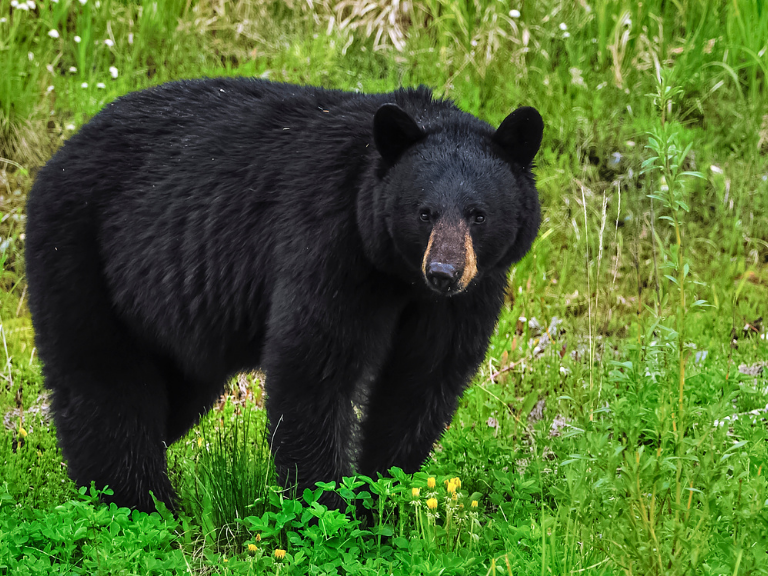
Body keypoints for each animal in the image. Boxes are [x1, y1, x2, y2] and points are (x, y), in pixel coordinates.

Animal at [24, 77, 540, 512]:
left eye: (478, 214)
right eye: (424, 212)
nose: (444, 272)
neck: (398, 276)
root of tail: (58, 153)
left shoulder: (465, 298)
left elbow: (422, 381)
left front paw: (381, 499)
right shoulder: (331, 244)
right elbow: (314, 369)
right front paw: (328, 509)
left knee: (169, 395)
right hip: (80, 254)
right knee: (104, 383)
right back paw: (136, 502)